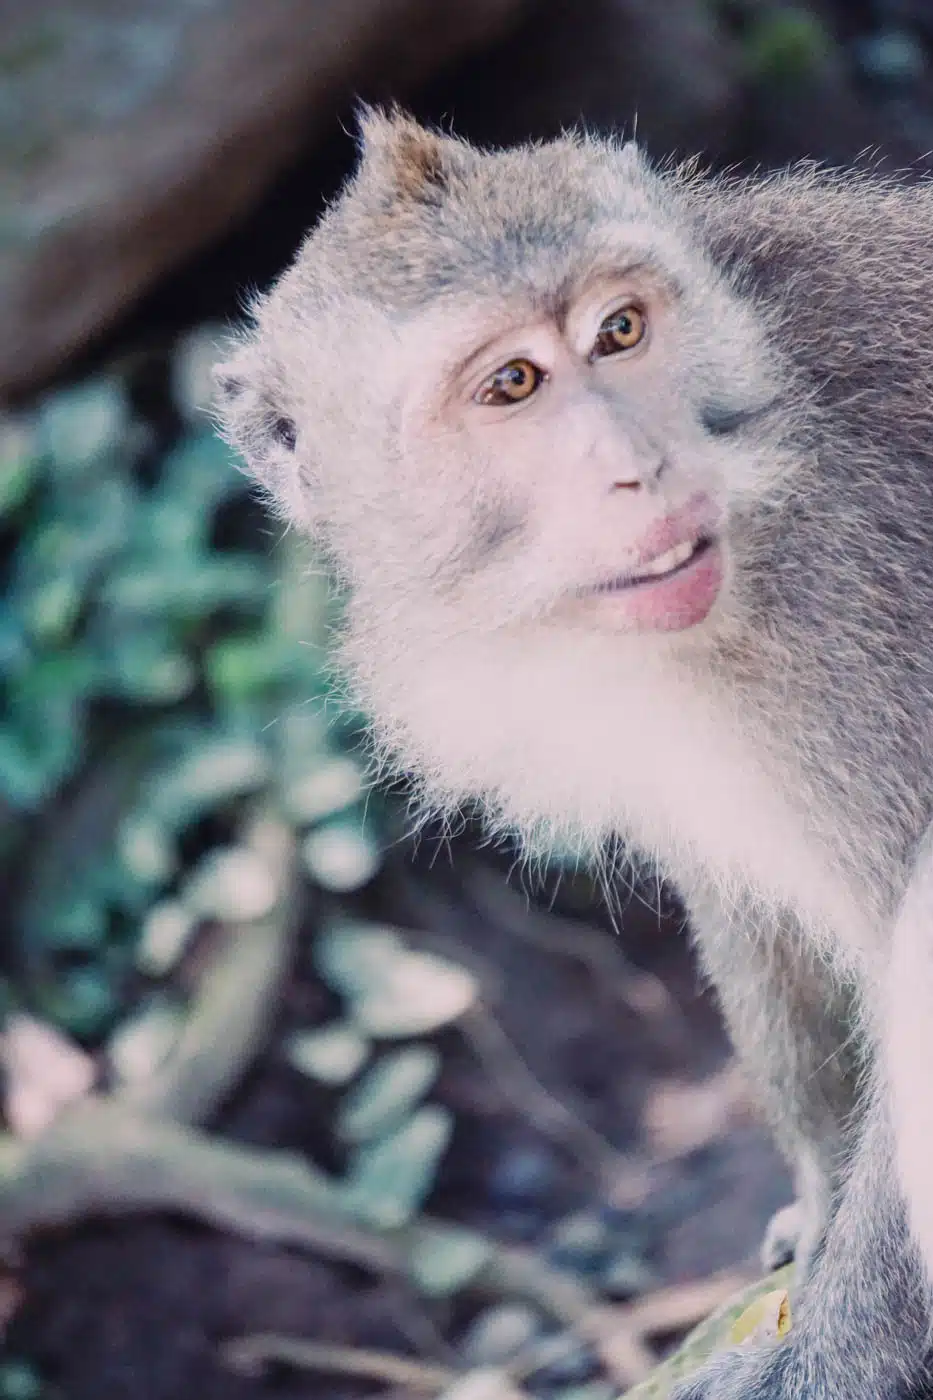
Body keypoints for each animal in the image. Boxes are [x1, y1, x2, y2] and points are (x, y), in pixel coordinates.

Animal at [214, 107, 933, 1398]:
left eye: (621, 330)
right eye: (512, 384)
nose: (639, 467)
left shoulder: (857, 614)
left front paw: (828, 1357)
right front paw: (815, 1196)